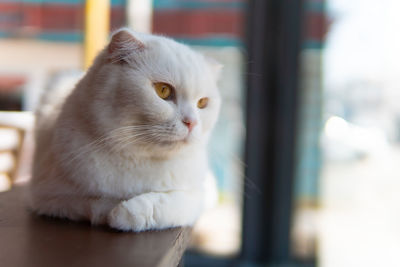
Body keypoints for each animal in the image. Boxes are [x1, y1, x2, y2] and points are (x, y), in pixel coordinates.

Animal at [28, 28, 222, 231]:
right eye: (163, 90)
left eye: (202, 103)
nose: (192, 122)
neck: (139, 159)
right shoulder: (48, 196)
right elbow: (94, 203)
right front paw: (113, 210)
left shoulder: (197, 196)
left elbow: (165, 203)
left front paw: (127, 212)